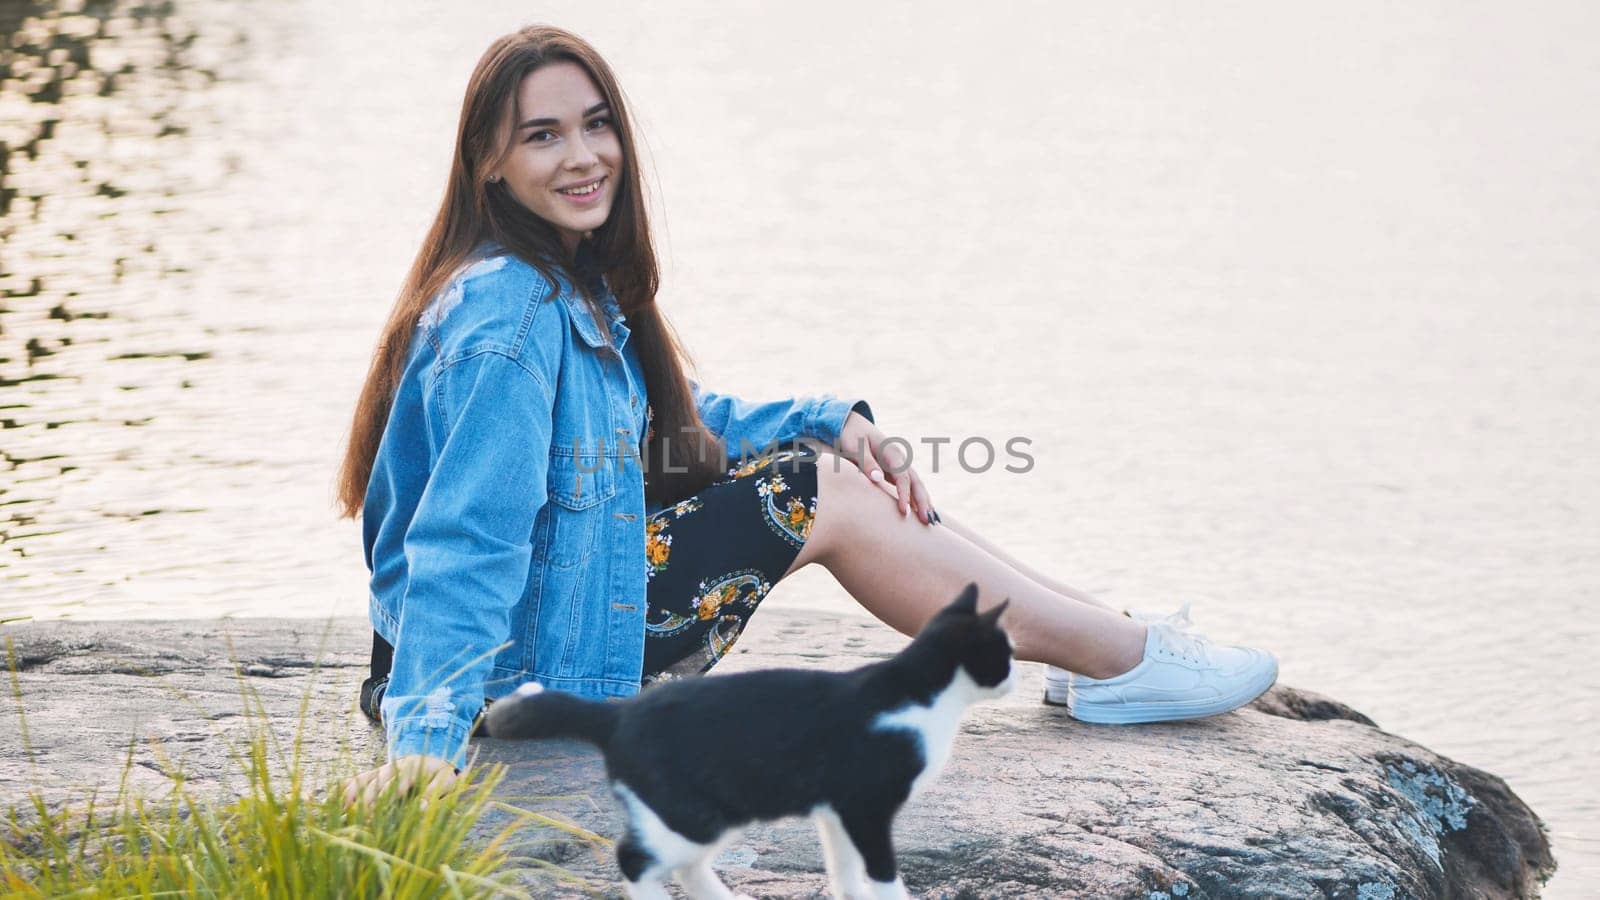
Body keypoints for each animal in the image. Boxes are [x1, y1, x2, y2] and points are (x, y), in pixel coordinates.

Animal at [480, 576, 1017, 890]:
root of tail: (617, 715)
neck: (918, 690)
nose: (1014, 678)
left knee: (680, 864)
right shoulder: (867, 806)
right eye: (1005, 653)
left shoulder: (837, 809)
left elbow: (844, 870)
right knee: (635, 858)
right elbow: (881, 873)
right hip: (696, 814)